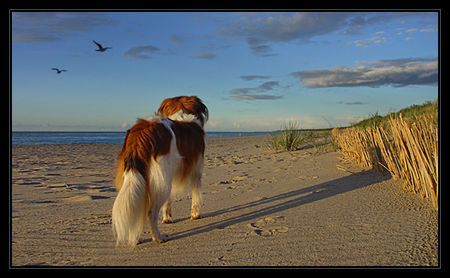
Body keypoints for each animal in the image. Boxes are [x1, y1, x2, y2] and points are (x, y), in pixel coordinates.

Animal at [114, 96, 209, 245]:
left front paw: (167, 218)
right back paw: (158, 237)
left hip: (141, 180)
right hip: (161, 180)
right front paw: (195, 215)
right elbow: (195, 195)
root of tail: (141, 133)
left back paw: (135, 238)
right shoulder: (196, 171)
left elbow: (167, 202)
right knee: (151, 212)